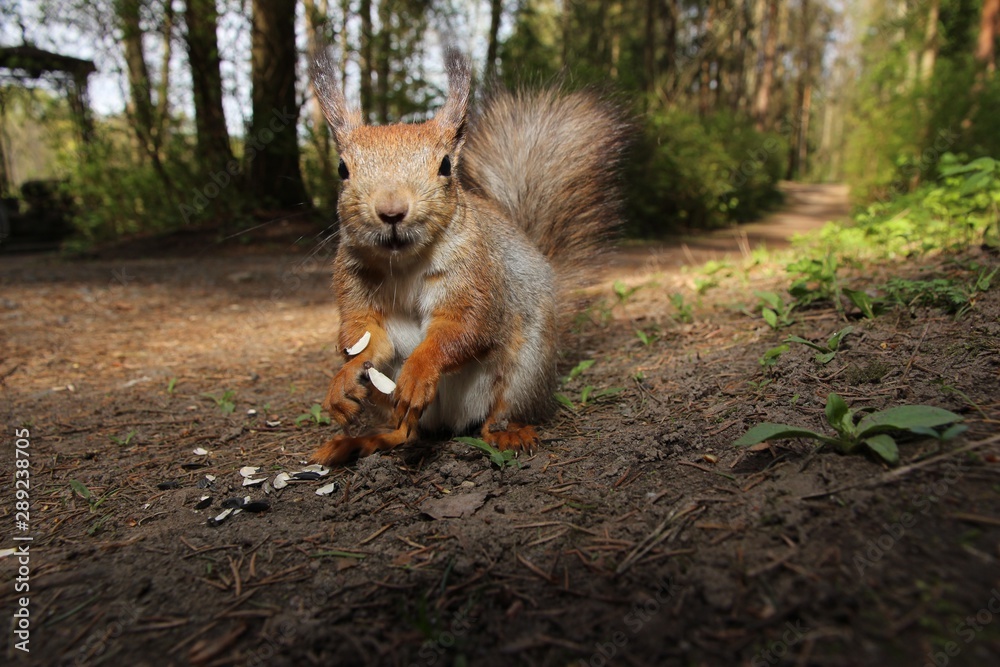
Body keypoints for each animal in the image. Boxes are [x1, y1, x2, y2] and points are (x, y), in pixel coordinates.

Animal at [307, 49, 629, 466]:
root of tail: (450, 420)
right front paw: (343, 380)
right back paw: (362, 441)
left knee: (498, 415)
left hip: (526, 368)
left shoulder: (474, 271)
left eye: (445, 165)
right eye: (342, 169)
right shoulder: (353, 280)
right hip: (384, 399)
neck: (403, 263)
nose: (392, 211)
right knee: (405, 433)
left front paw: (420, 370)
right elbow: (365, 338)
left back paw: (508, 433)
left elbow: (464, 328)